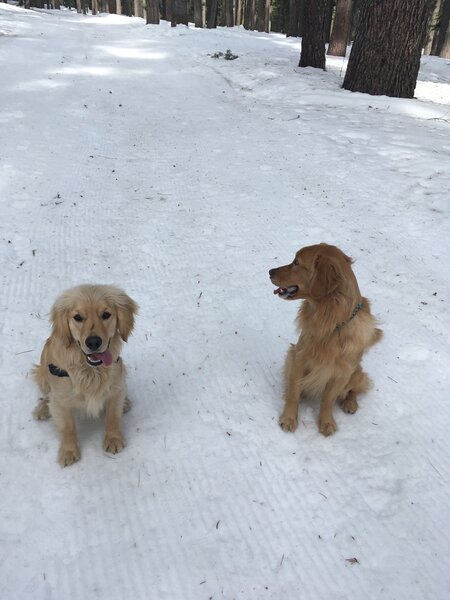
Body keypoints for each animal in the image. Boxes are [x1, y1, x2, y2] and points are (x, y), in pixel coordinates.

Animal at [32, 284, 138, 466]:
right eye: (78, 317)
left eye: (106, 314)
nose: (93, 342)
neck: (91, 370)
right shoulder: (61, 399)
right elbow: (67, 427)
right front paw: (68, 451)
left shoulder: (115, 387)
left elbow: (112, 417)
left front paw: (113, 439)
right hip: (42, 375)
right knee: (47, 396)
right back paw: (42, 408)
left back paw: (125, 402)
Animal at [268, 244, 382, 436]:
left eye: (296, 262)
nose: (270, 271)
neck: (331, 322)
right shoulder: (299, 358)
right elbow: (293, 393)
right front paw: (289, 418)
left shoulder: (342, 373)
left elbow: (328, 400)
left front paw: (326, 422)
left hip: (357, 373)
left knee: (353, 391)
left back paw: (350, 403)